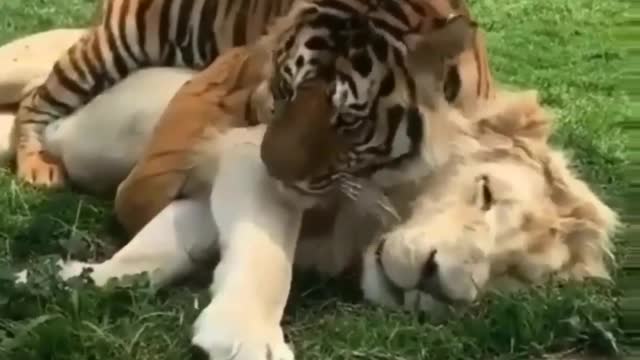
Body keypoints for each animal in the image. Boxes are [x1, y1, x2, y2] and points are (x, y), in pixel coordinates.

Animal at [13, 0, 496, 188]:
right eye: (285, 88)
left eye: (349, 120)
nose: (274, 175)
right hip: (115, 44)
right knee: (36, 99)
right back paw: (36, 166)